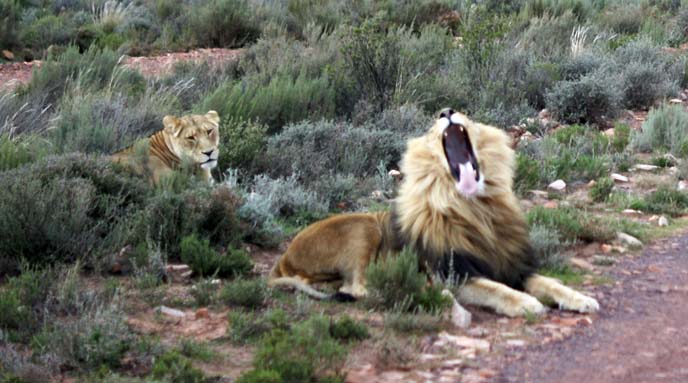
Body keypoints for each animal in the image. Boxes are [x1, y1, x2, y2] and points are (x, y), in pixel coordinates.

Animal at [272, 109, 600, 318]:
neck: (475, 208)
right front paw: (525, 303)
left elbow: (549, 283)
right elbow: (495, 289)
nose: (447, 111)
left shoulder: (513, 266)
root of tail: (283, 258)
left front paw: (582, 299)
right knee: (359, 287)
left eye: (464, 113)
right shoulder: (454, 274)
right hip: (362, 229)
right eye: (433, 125)